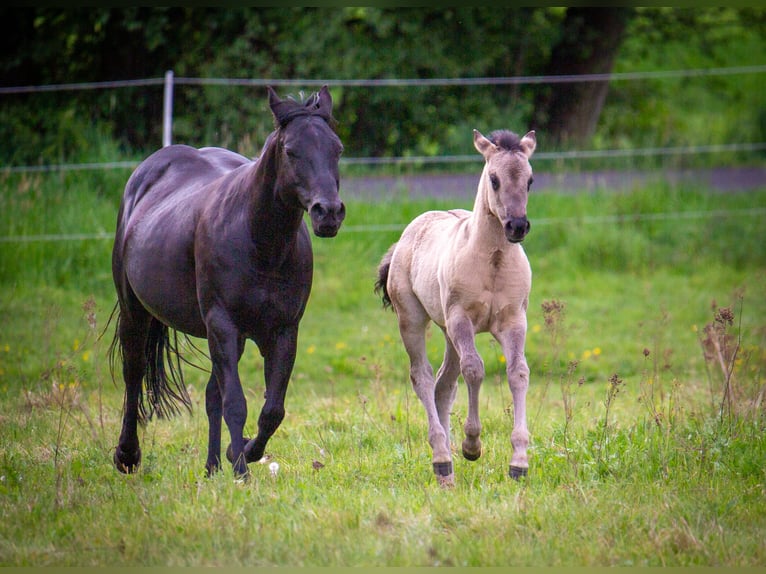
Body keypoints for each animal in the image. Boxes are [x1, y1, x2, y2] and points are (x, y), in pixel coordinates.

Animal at [108, 85, 346, 478]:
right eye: (290, 150)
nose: (328, 212)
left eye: (337, 149)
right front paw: (242, 468)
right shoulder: (223, 324)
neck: (259, 243)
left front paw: (245, 451)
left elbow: (271, 409)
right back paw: (128, 456)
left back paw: (212, 466)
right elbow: (236, 402)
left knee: (210, 395)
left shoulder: (282, 331)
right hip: (137, 312)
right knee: (133, 373)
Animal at [375, 128, 536, 487]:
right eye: (493, 178)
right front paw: (472, 445)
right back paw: (442, 460)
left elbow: (518, 373)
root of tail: (404, 238)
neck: (492, 262)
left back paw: (447, 466)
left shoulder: (513, 321)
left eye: (530, 180)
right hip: (415, 320)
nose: (517, 226)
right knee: (422, 377)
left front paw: (518, 463)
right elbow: (474, 369)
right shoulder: (462, 319)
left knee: (444, 385)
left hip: (447, 331)